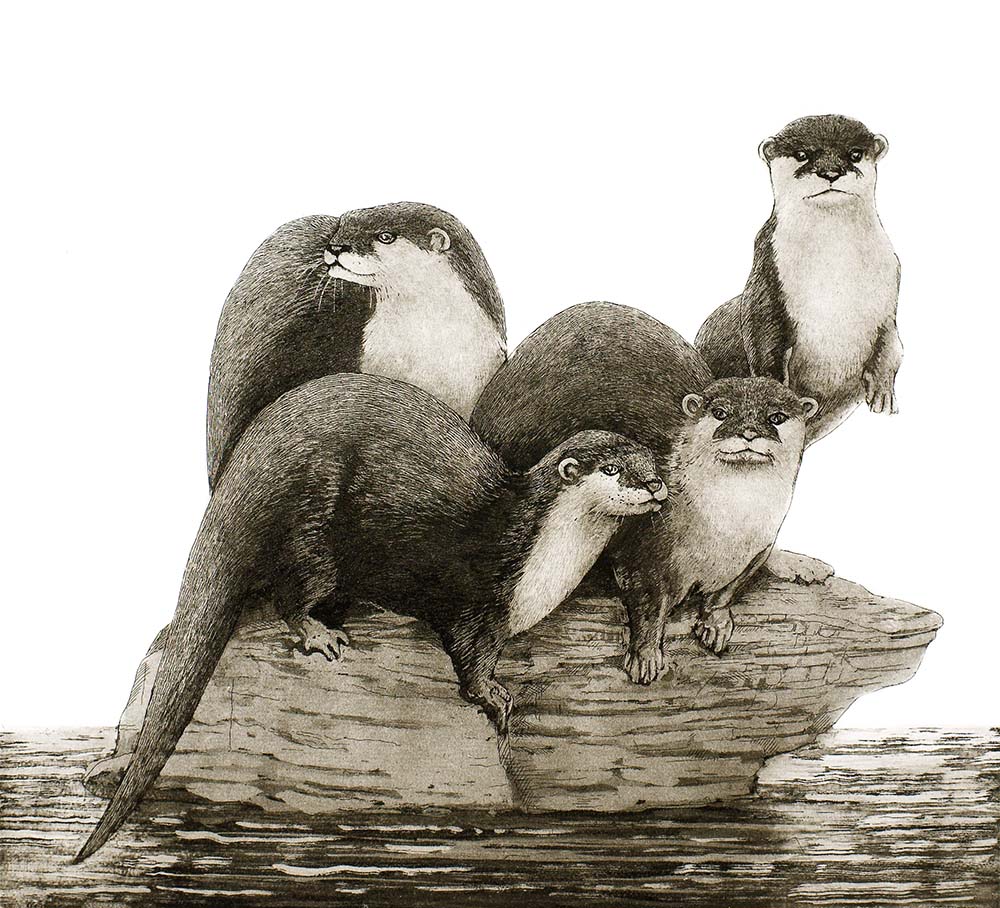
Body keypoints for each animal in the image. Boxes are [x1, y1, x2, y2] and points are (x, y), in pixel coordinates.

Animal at [75, 373, 665, 862]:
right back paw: (320, 633)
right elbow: (469, 658)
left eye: (648, 460)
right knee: (290, 593)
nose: (657, 485)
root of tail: (250, 464)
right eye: (613, 469)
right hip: (313, 528)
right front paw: (496, 697)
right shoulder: (477, 595)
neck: (539, 555)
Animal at [473, 303, 816, 684]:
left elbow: (725, 592)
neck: (726, 529)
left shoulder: (757, 548)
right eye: (720, 412)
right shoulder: (645, 552)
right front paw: (646, 655)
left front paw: (715, 622)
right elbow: (648, 607)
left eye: (777, 417)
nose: (749, 432)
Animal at [695, 115, 901, 444]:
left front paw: (883, 393)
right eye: (802, 154)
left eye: (855, 153)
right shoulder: (766, 285)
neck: (837, 277)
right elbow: (764, 345)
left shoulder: (889, 290)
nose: (830, 172)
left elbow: (893, 345)